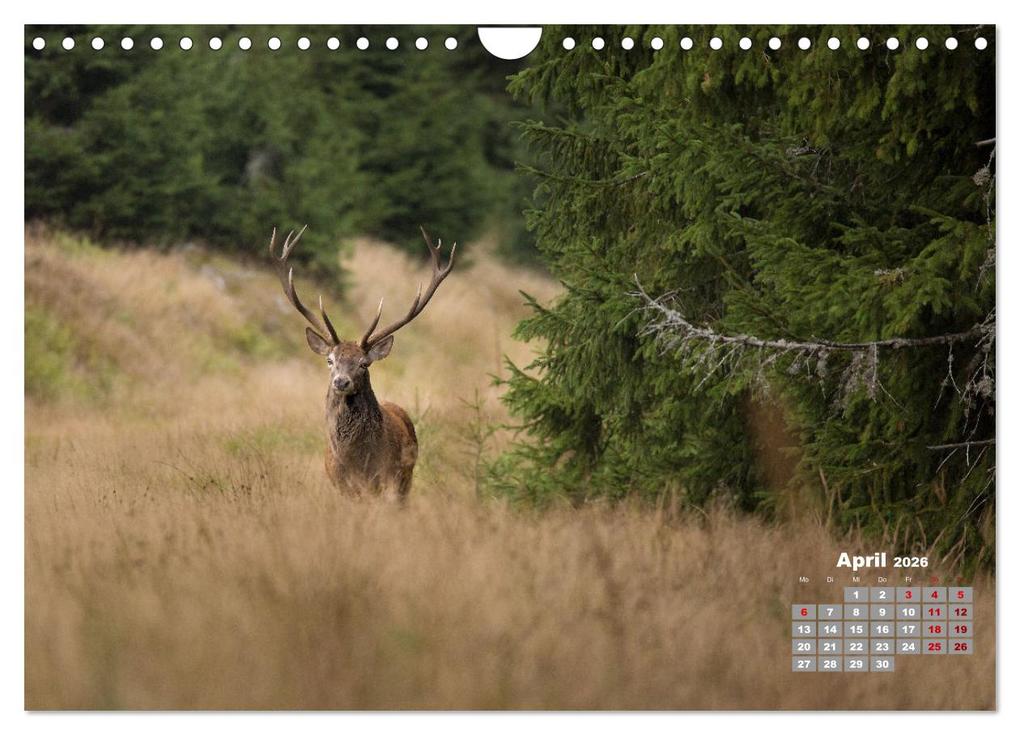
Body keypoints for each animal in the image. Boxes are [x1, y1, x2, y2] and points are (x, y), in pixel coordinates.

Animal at [269, 226, 455, 499]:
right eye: (330, 360)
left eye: (364, 363)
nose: (341, 382)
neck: (357, 463)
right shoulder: (341, 486)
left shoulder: (387, 483)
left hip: (406, 480)